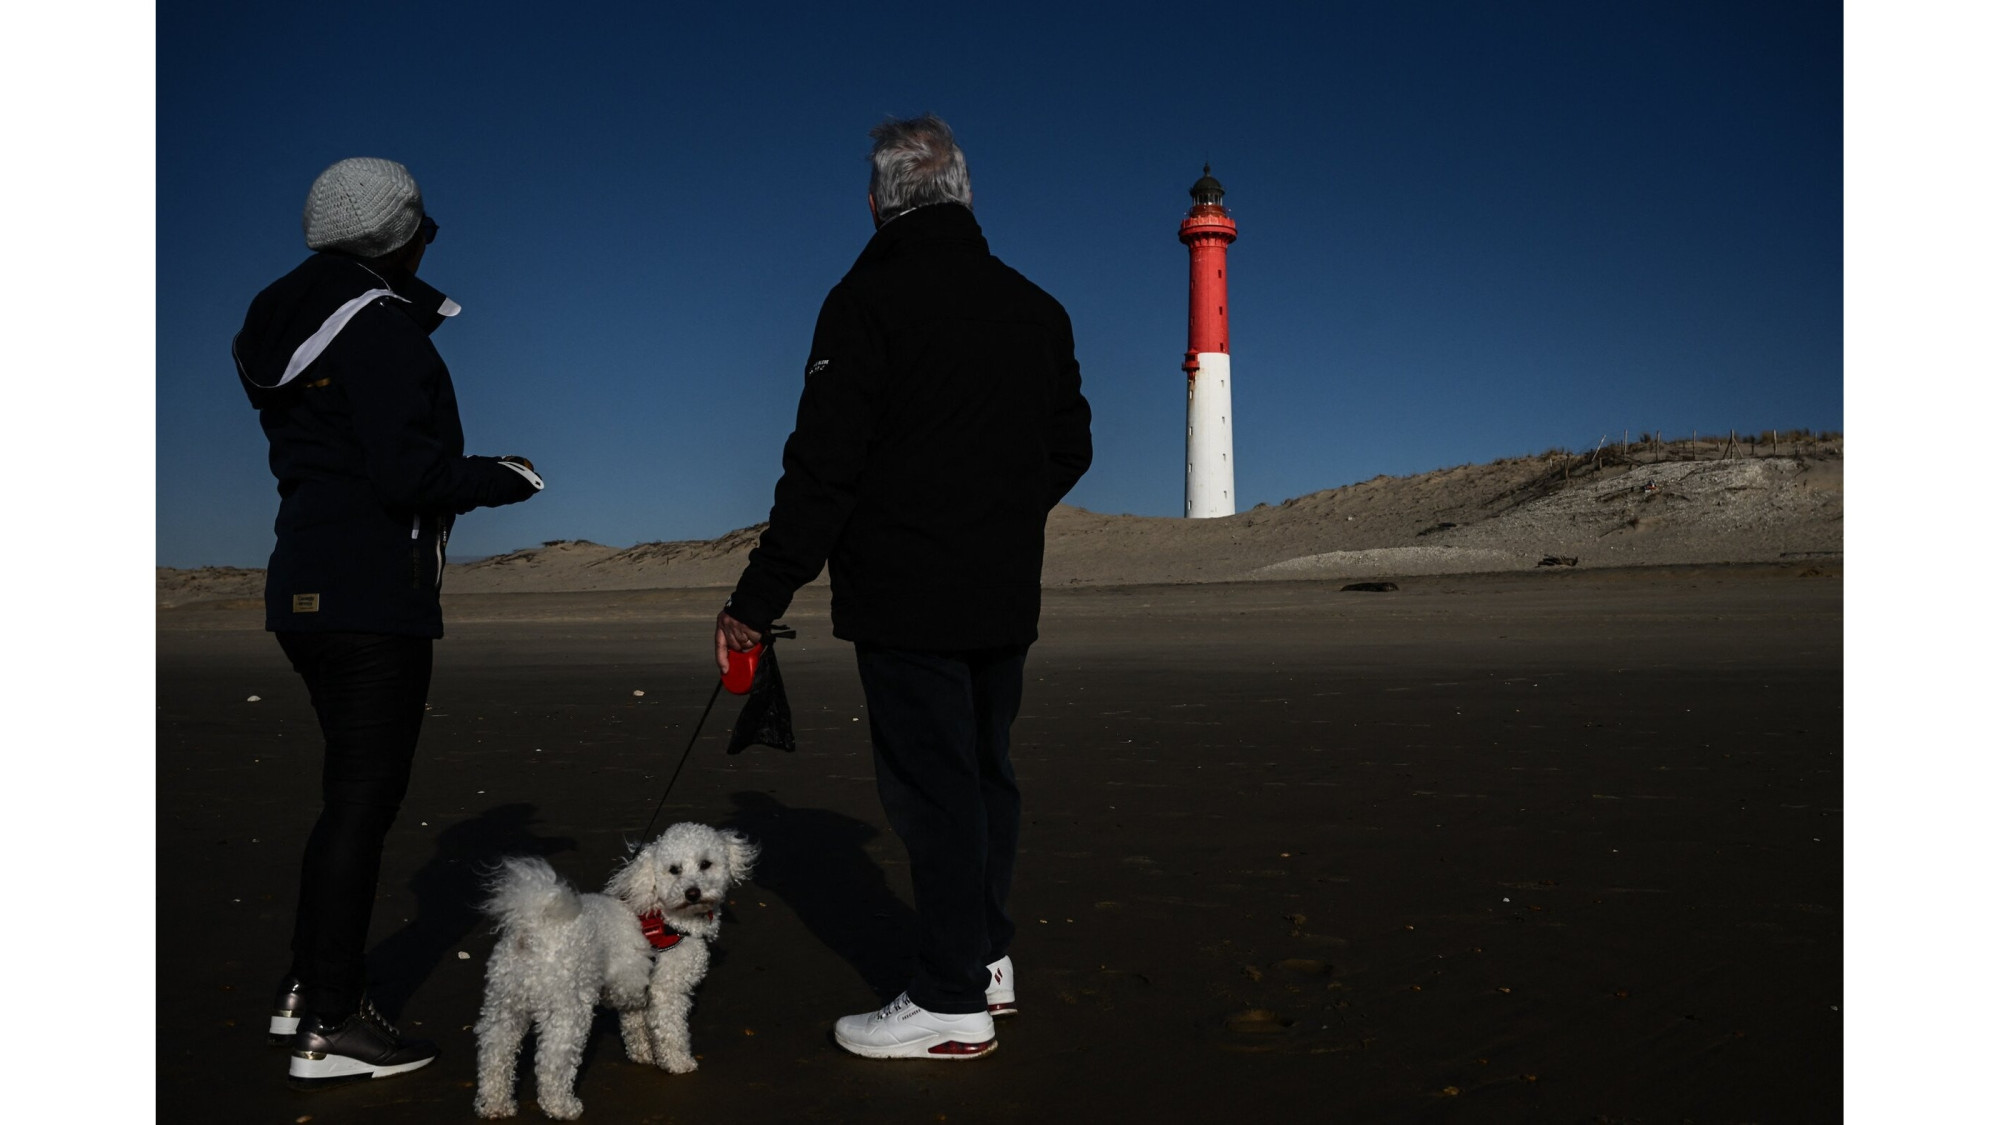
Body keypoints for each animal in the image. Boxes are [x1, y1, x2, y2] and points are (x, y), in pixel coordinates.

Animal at [472, 820, 760, 1112]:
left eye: (705, 864)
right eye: (674, 869)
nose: (693, 893)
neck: (667, 918)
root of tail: (534, 929)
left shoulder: (635, 989)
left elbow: (636, 1025)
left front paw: (643, 1054)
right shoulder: (667, 992)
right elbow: (671, 1030)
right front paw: (678, 1062)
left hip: (505, 1006)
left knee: (494, 1054)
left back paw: (496, 1105)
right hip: (568, 1009)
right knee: (552, 1062)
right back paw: (562, 1106)